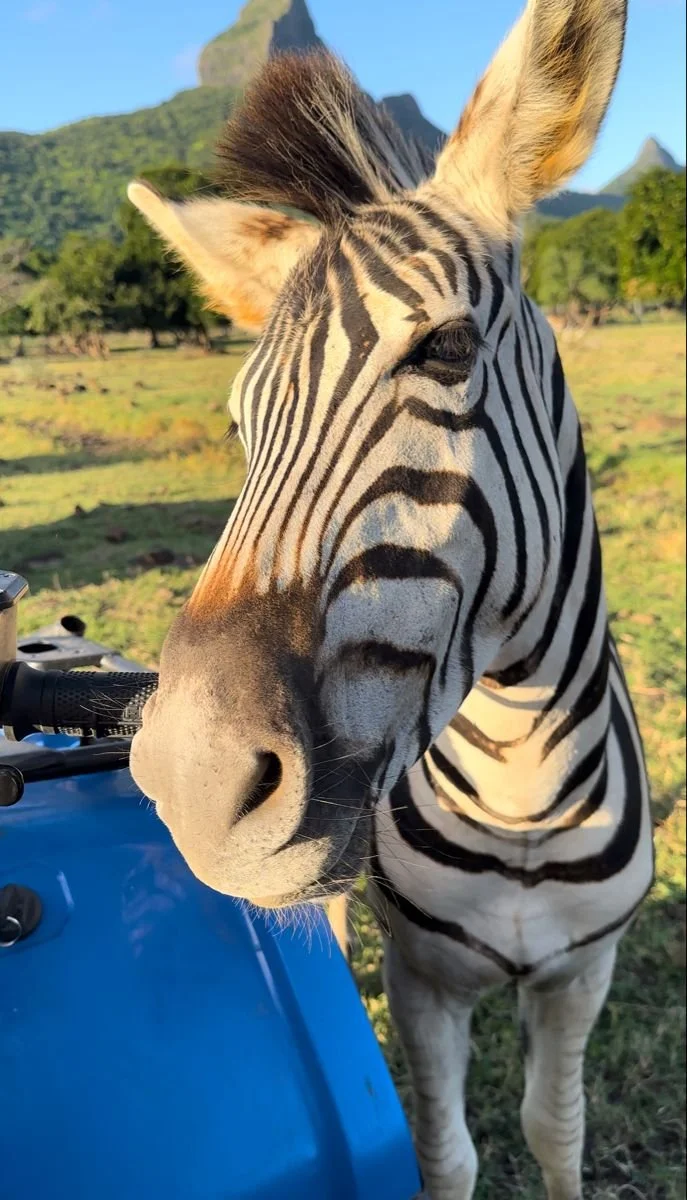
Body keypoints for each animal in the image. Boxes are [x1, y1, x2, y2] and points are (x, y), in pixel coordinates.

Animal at [128, 2, 655, 1196]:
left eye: (448, 348)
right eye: (241, 423)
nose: (188, 780)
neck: (523, 789)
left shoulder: (581, 974)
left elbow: (558, 1130)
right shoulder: (422, 979)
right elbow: (444, 1155)